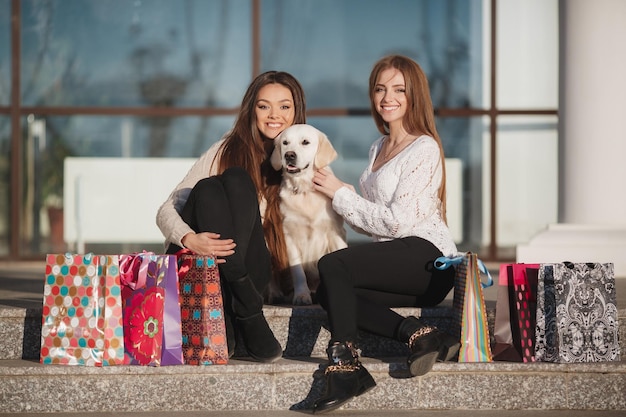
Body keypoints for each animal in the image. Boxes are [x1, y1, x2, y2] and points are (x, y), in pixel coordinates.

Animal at [268, 122, 346, 304]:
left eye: (305, 142)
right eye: (285, 143)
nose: (289, 155)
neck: (305, 190)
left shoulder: (334, 233)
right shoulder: (289, 237)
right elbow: (298, 272)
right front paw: (302, 295)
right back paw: (275, 293)